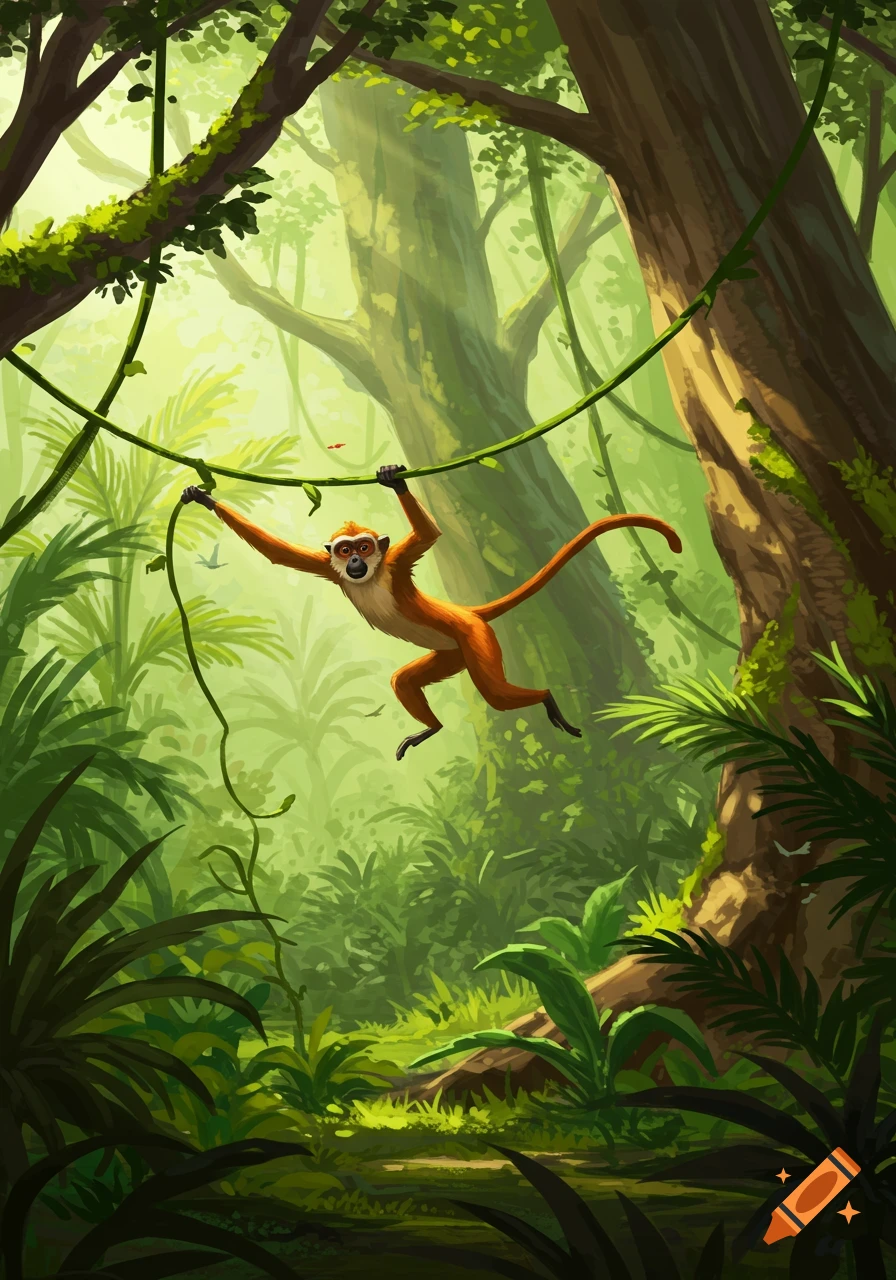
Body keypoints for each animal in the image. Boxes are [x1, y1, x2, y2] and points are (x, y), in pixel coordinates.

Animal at [181, 465, 682, 761]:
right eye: (345, 551)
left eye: (366, 547)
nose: (356, 561)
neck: (371, 579)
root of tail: (467, 612)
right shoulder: (328, 570)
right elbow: (278, 554)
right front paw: (202, 497)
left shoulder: (397, 564)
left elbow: (428, 536)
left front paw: (394, 480)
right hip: (452, 654)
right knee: (405, 681)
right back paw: (433, 728)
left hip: (474, 639)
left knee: (496, 696)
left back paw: (544, 699)